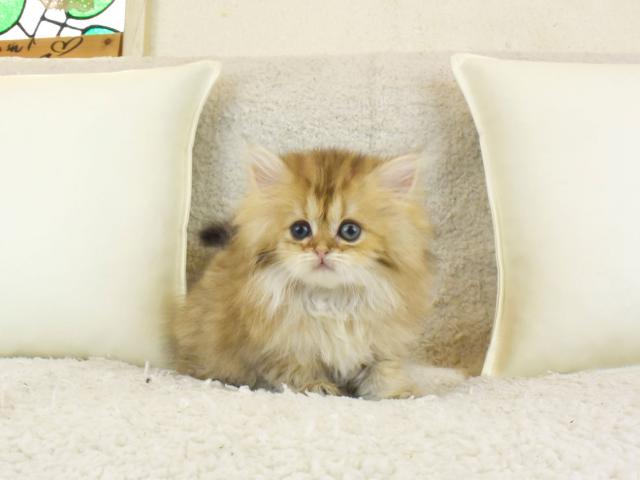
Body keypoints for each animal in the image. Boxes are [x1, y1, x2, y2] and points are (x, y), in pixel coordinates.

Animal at [170, 146, 433, 399]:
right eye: (300, 230)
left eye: (350, 231)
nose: (321, 250)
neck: (331, 300)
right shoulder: (281, 347)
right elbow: (297, 370)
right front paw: (317, 387)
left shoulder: (384, 342)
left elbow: (385, 370)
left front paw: (399, 393)